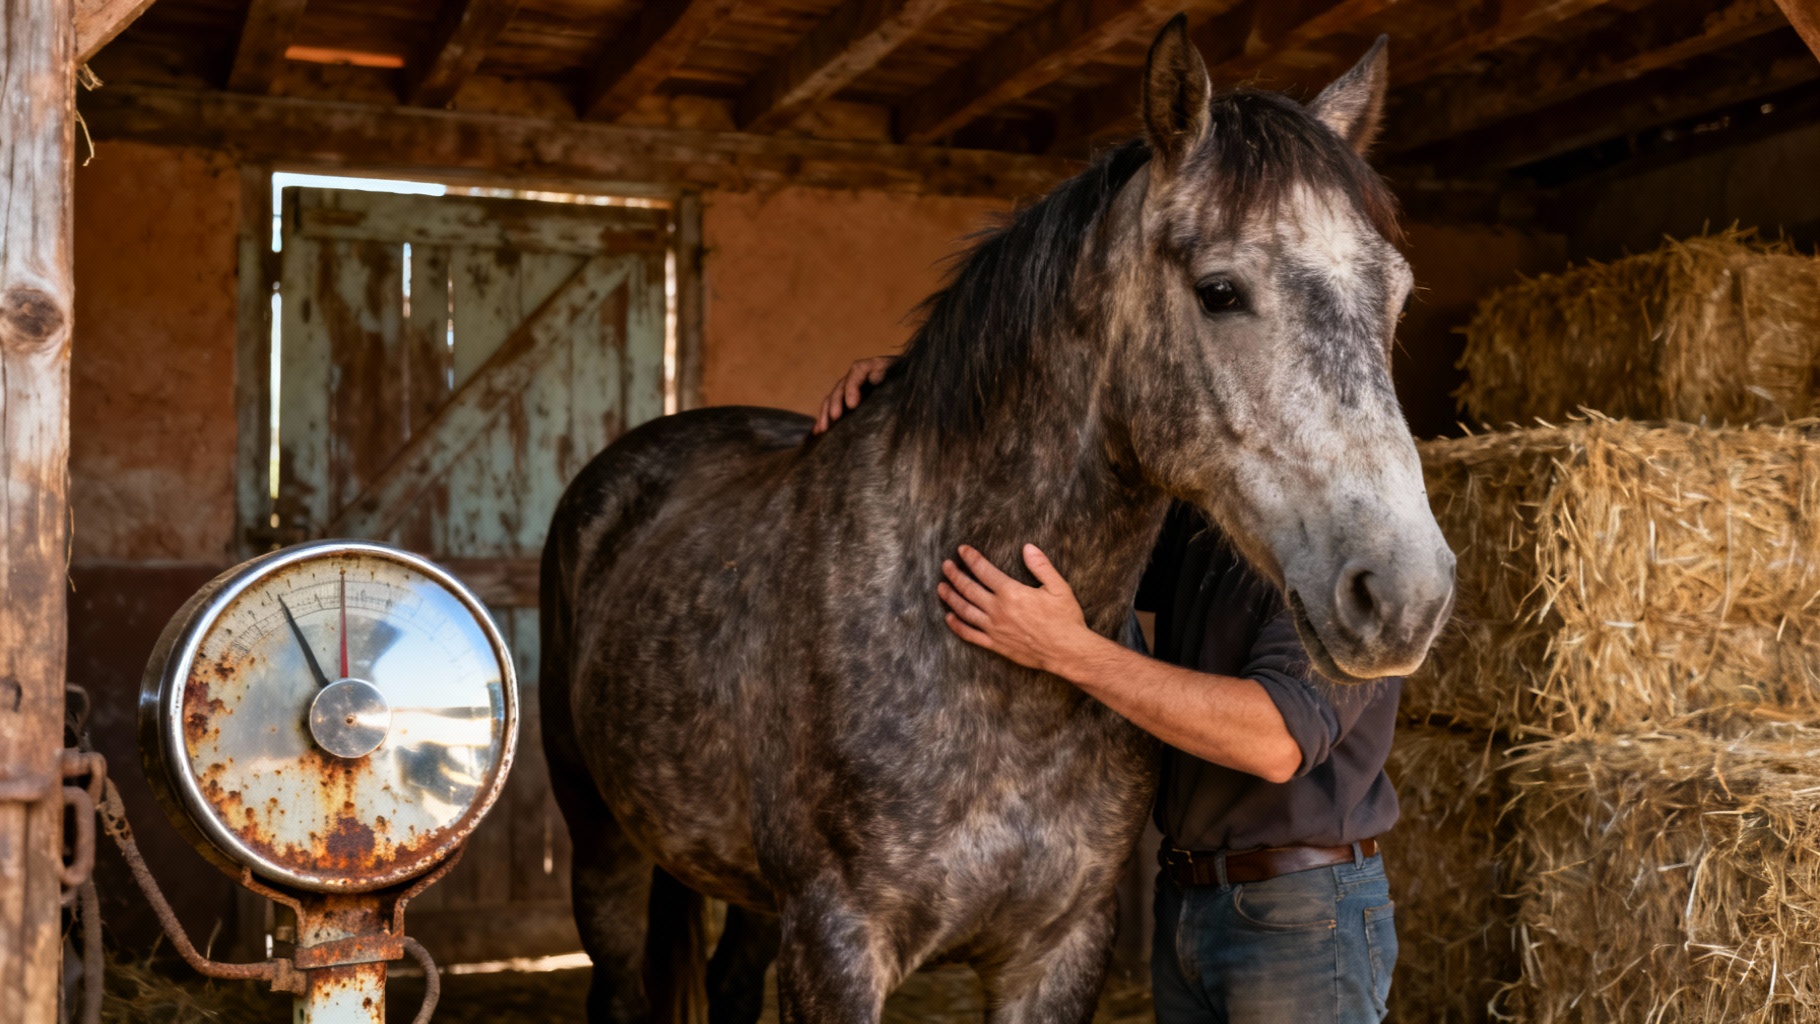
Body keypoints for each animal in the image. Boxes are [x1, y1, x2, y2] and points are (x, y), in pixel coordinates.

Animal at [540, 17, 1455, 1024]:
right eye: (1219, 291)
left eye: (1395, 295)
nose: (1404, 594)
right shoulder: (834, 945)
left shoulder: (1058, 951)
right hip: (603, 845)